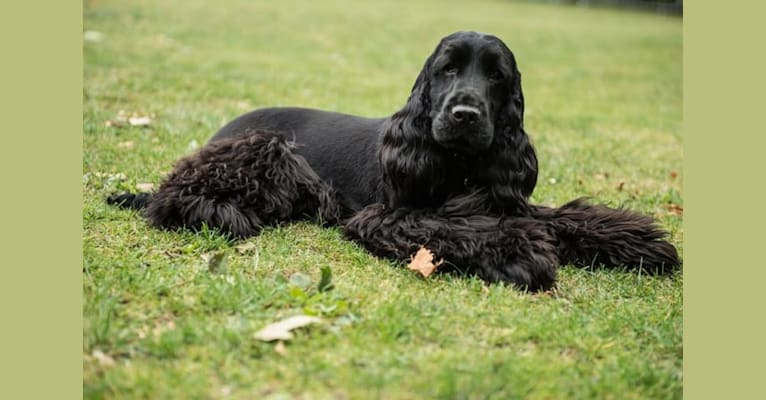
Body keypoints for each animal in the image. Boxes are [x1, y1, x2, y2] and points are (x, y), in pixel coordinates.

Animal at [109, 31, 684, 290]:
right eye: (447, 69)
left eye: (497, 75)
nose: (465, 114)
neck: (457, 164)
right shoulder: (385, 214)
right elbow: (453, 228)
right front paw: (519, 253)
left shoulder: (507, 200)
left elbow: (564, 217)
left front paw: (640, 243)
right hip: (264, 151)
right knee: (172, 196)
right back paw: (224, 213)